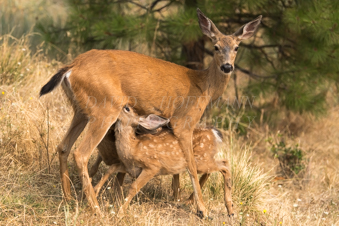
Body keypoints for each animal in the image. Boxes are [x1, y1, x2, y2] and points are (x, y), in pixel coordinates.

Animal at [94, 105, 235, 216]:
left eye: (127, 108)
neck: (133, 147)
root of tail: (214, 133)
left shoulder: (152, 166)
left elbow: (133, 187)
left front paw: (120, 212)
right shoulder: (129, 167)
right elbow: (111, 169)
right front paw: (94, 191)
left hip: (200, 160)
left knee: (225, 164)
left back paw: (230, 209)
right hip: (204, 159)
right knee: (217, 167)